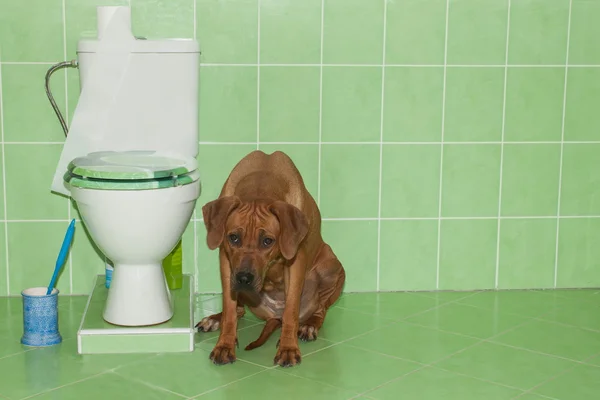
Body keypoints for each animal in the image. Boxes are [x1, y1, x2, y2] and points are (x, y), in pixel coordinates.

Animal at [197, 149, 346, 366]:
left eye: (267, 241)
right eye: (234, 238)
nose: (243, 279)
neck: (261, 183)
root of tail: (274, 316)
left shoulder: (296, 261)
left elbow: (291, 310)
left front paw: (288, 348)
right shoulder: (225, 260)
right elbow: (230, 309)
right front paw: (224, 345)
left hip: (332, 267)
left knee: (320, 309)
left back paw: (309, 325)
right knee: (239, 309)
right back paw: (215, 319)